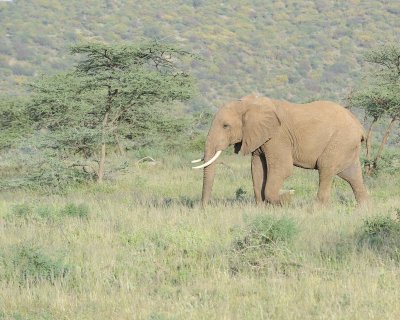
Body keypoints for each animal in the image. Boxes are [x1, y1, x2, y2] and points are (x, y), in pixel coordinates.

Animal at [192, 94, 368, 208]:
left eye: (225, 126)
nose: (204, 209)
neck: (250, 104)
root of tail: (360, 127)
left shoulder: (278, 137)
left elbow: (283, 169)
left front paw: (288, 197)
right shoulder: (259, 138)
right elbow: (257, 169)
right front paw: (261, 209)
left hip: (340, 141)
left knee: (325, 168)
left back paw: (316, 210)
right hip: (346, 145)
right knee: (353, 176)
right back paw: (363, 209)